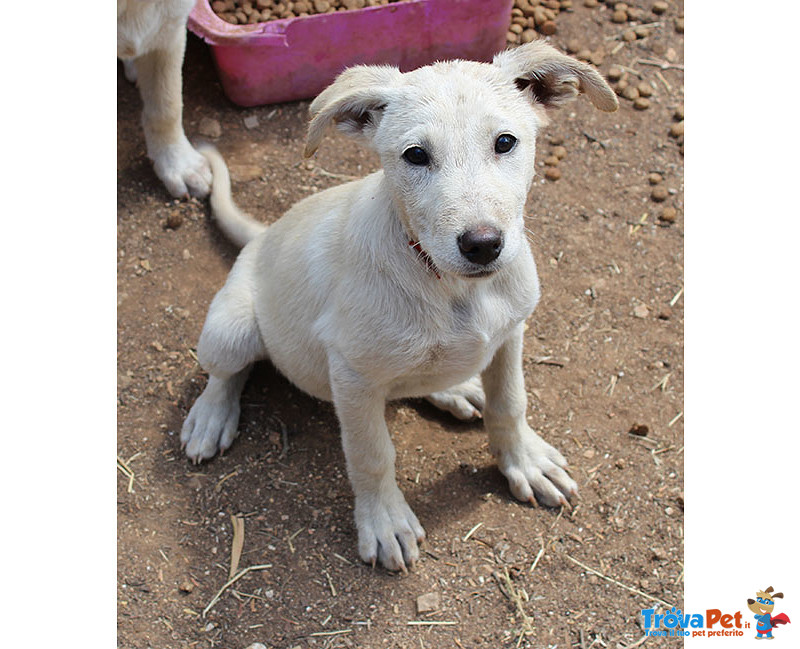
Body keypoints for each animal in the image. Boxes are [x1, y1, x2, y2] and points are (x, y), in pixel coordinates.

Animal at [183, 39, 620, 568]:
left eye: (505, 142)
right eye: (415, 155)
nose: (482, 245)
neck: (451, 286)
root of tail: (263, 235)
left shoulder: (510, 334)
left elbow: (510, 402)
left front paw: (525, 462)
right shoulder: (352, 375)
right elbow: (372, 454)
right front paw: (385, 521)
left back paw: (457, 388)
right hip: (233, 328)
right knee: (227, 372)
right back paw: (210, 416)